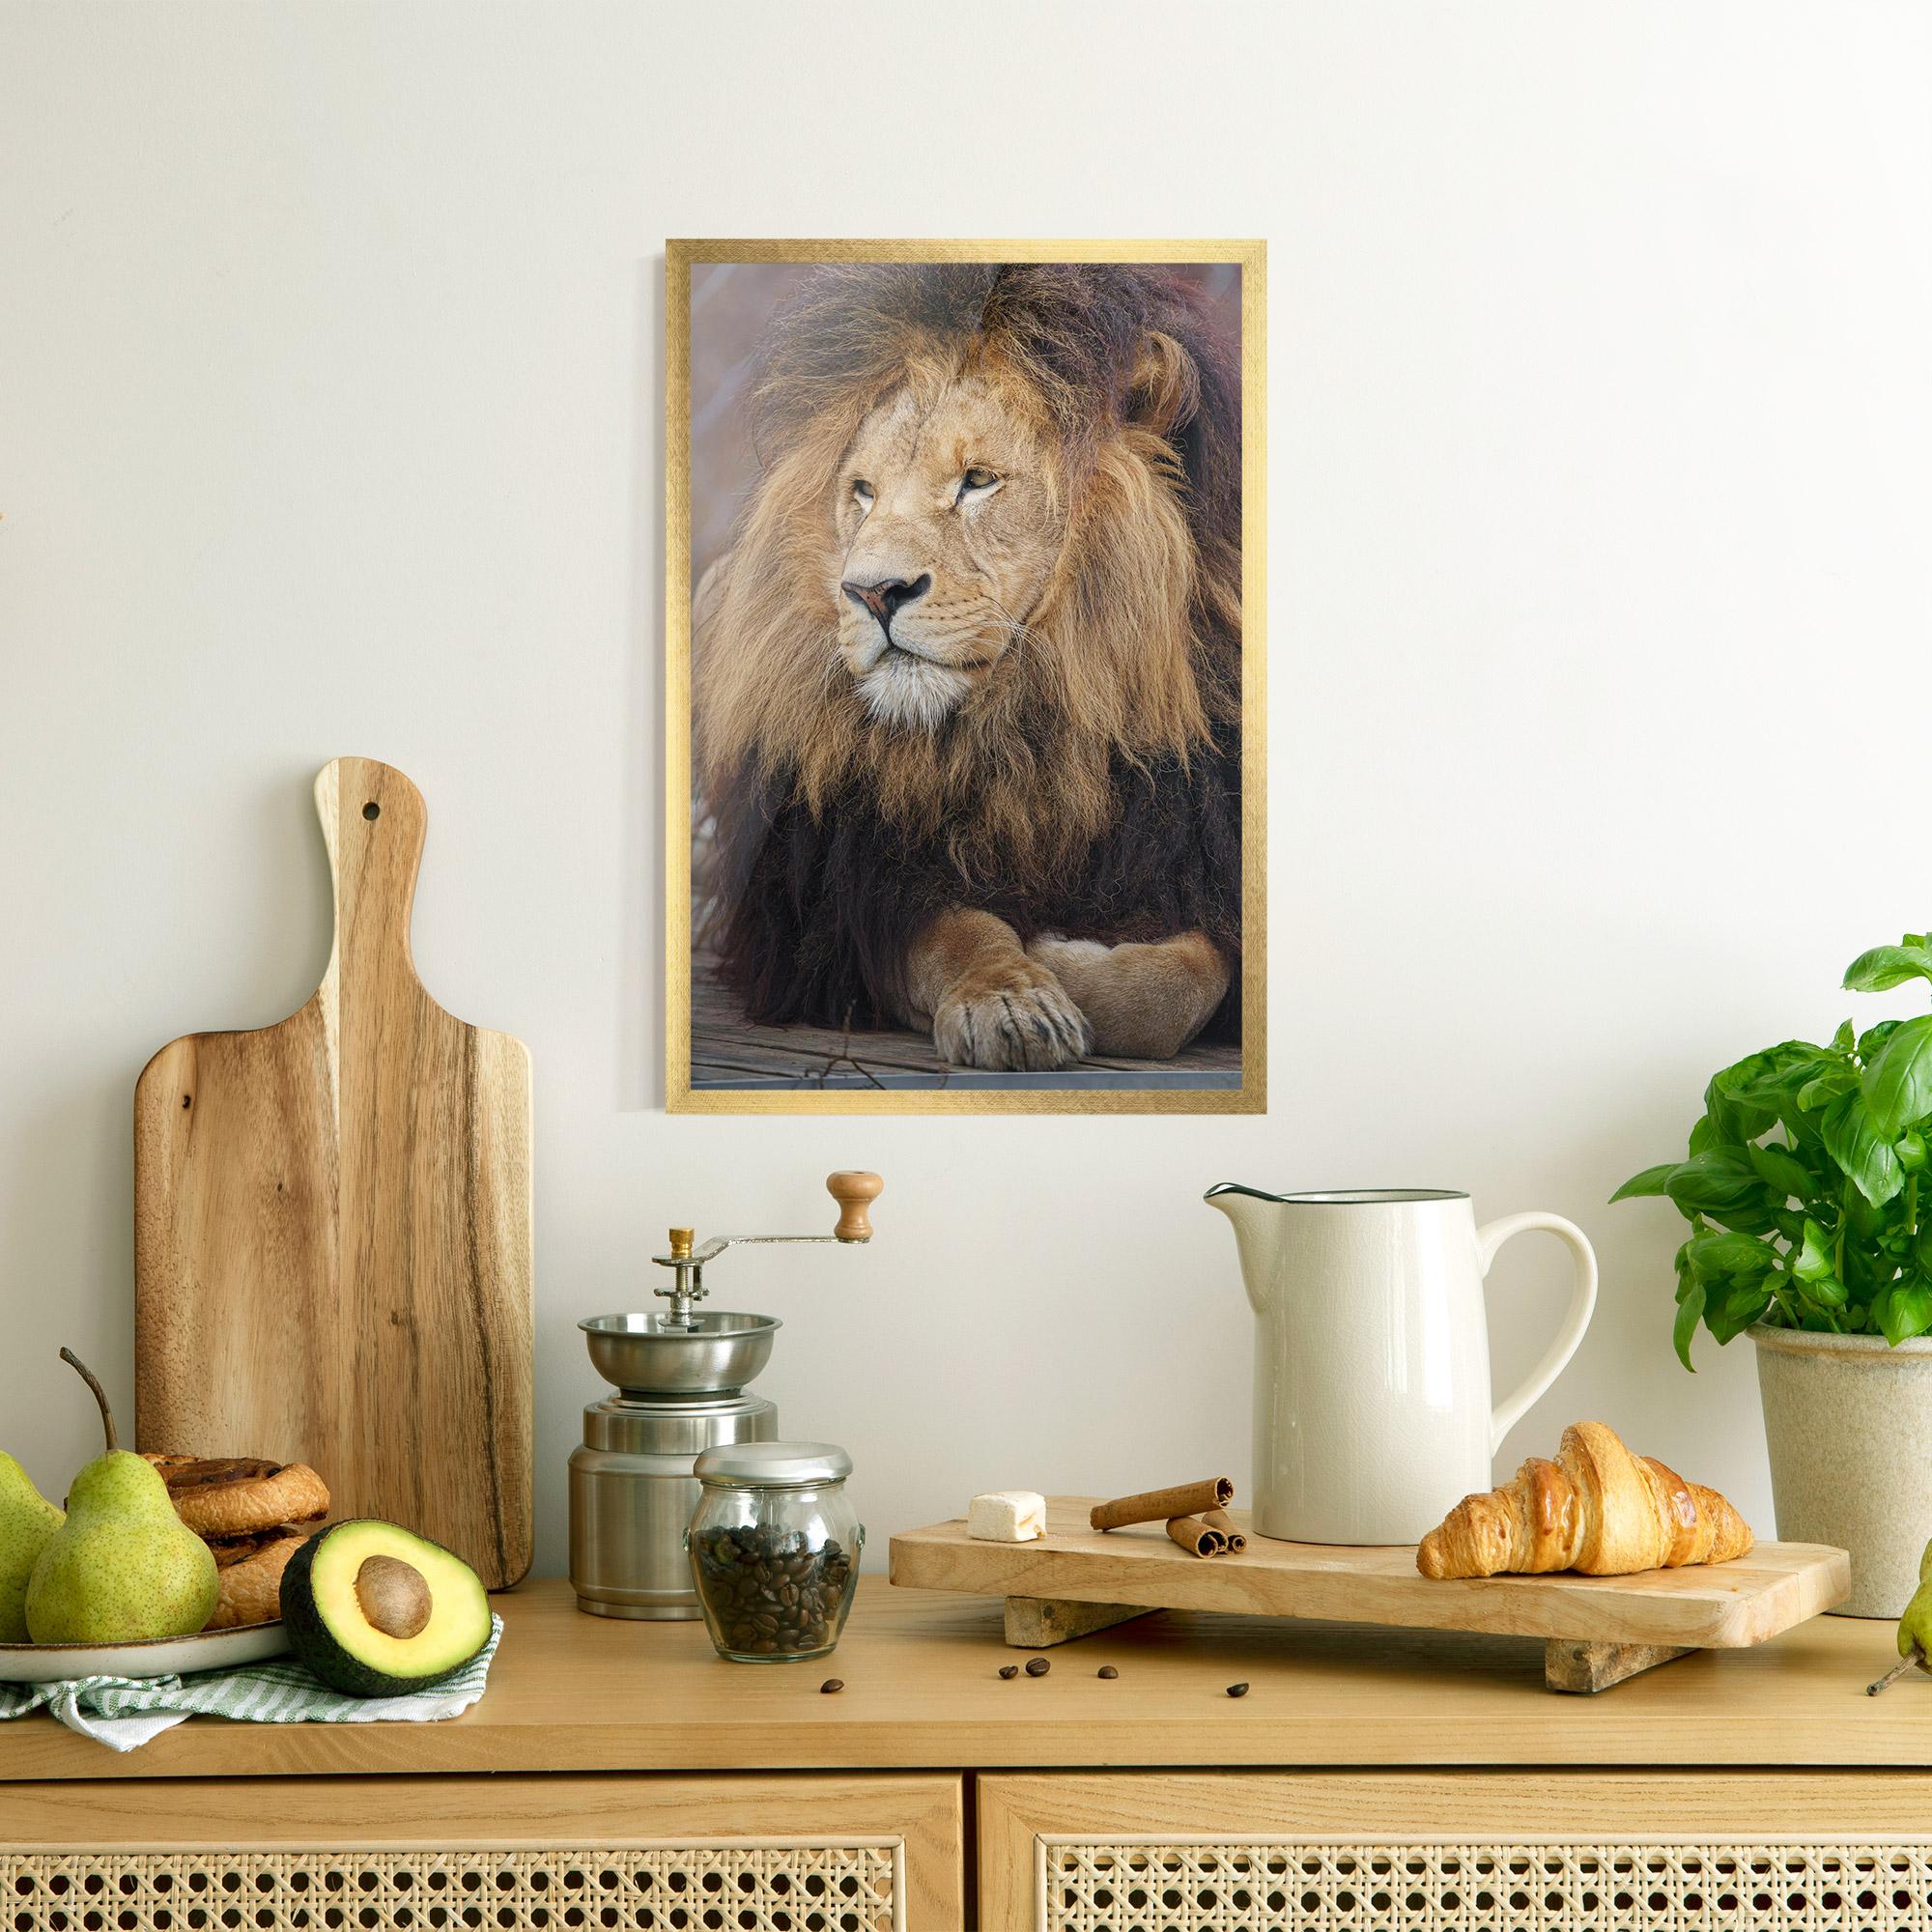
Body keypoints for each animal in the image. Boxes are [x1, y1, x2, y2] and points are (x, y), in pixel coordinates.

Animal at [694, 262, 1242, 1072]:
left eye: (978, 480)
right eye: (863, 493)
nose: (870, 592)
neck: (1029, 730)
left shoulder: (1193, 860)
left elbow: (1181, 984)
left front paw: (1067, 954)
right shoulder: (844, 900)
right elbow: (957, 935)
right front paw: (1013, 998)